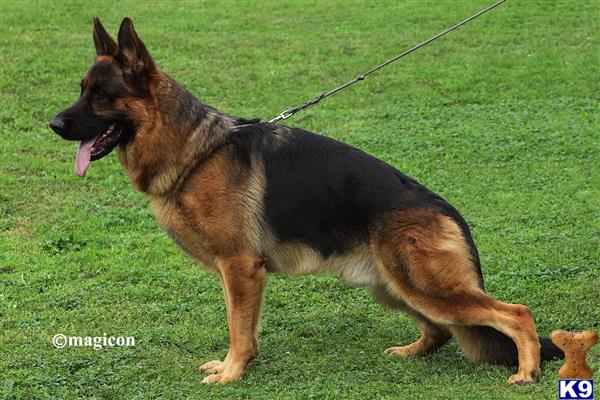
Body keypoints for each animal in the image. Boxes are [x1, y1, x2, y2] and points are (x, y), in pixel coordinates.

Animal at [50, 17, 564, 382]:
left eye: (101, 96)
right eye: (82, 90)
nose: (53, 124)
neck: (196, 149)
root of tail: (448, 210)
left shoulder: (240, 267)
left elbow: (237, 327)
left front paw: (232, 374)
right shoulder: (240, 275)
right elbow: (245, 327)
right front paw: (239, 366)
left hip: (425, 287)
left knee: (516, 314)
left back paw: (526, 372)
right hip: (392, 287)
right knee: (438, 332)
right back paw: (410, 352)